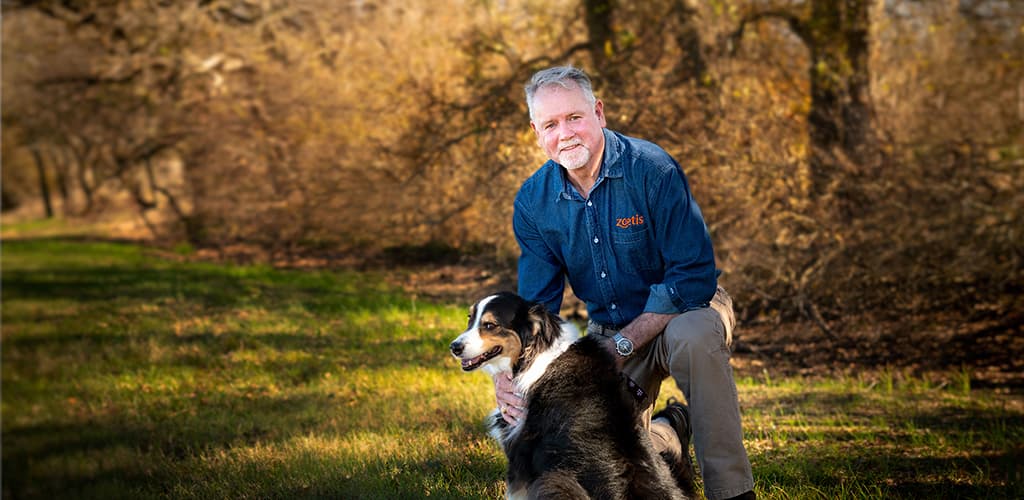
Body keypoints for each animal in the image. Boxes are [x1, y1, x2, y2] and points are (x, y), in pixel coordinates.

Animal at [448, 290, 688, 497]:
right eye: (470, 319)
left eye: (490, 325)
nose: (454, 347)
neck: (532, 354)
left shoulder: (522, 451)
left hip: (554, 479)